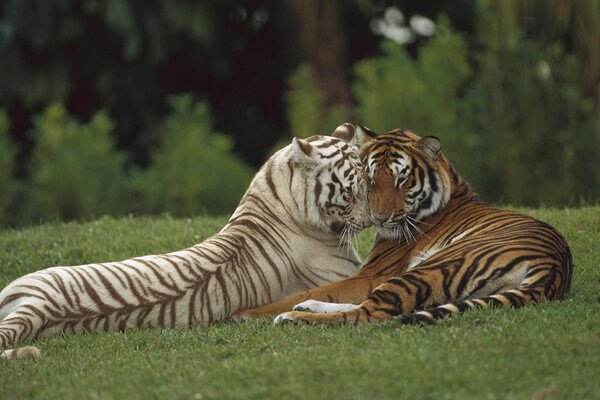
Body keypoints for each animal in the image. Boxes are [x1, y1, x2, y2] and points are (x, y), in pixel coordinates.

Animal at [233, 125, 572, 324]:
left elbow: (319, 290)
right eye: (370, 179)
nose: (379, 218)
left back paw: (292, 317)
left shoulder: (373, 274)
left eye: (402, 179)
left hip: (431, 267)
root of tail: (554, 266)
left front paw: (248, 312)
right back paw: (304, 309)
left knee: (370, 312)